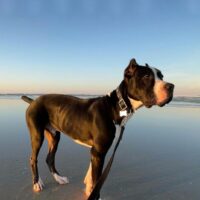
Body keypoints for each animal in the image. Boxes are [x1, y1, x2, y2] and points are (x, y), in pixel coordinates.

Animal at [21, 57, 174, 198]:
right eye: (147, 76)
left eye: (161, 76)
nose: (171, 86)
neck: (116, 106)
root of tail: (34, 101)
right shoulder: (99, 152)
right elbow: (97, 180)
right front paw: (94, 194)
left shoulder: (95, 152)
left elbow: (92, 176)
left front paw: (89, 189)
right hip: (37, 135)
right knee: (33, 158)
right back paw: (37, 183)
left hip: (54, 136)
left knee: (50, 158)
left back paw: (59, 178)